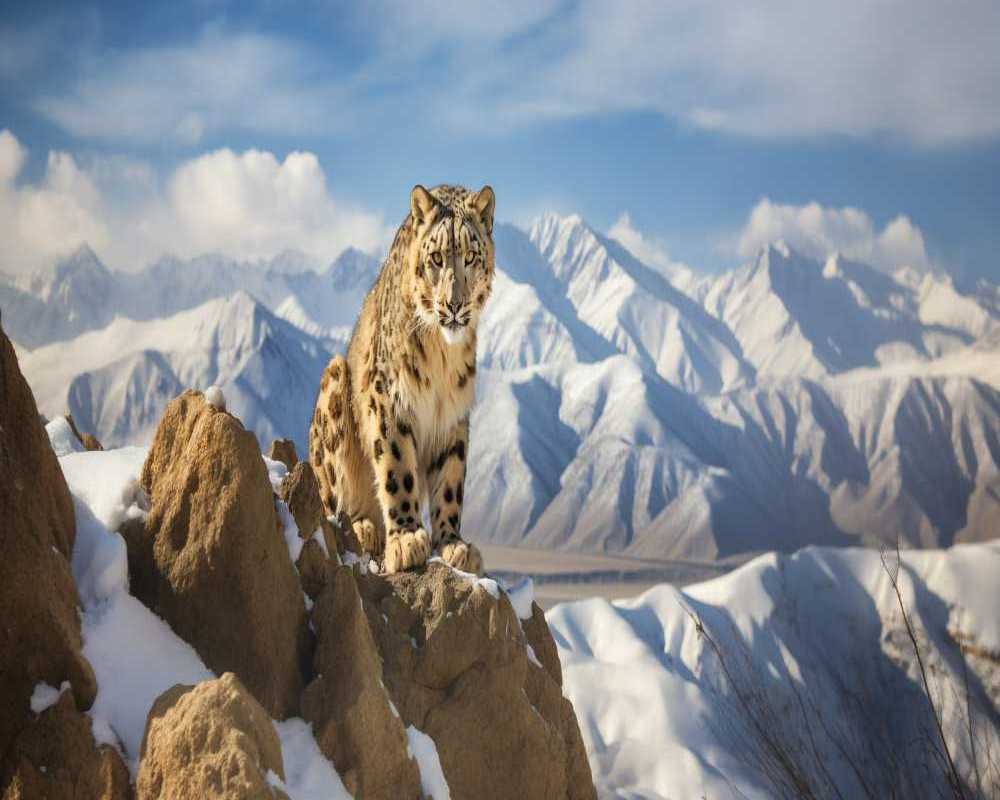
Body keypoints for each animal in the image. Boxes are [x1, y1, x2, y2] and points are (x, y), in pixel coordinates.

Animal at [308, 184, 495, 575]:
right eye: (436, 258)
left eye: (471, 256)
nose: (454, 304)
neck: (443, 355)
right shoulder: (390, 398)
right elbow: (397, 467)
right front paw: (408, 539)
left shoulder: (453, 413)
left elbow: (451, 479)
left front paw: (453, 544)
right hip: (334, 383)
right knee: (330, 503)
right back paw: (363, 528)